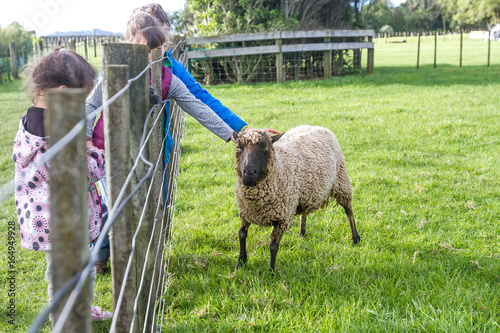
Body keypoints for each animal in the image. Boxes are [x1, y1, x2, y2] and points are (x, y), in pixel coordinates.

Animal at [234, 124, 360, 270]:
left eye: (266, 148)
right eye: (239, 147)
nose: (249, 173)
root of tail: (316, 126)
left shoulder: (282, 218)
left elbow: (273, 245)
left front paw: (271, 271)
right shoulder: (246, 212)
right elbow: (242, 234)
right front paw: (240, 262)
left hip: (341, 181)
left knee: (349, 211)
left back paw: (356, 238)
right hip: (306, 193)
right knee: (304, 213)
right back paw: (302, 234)